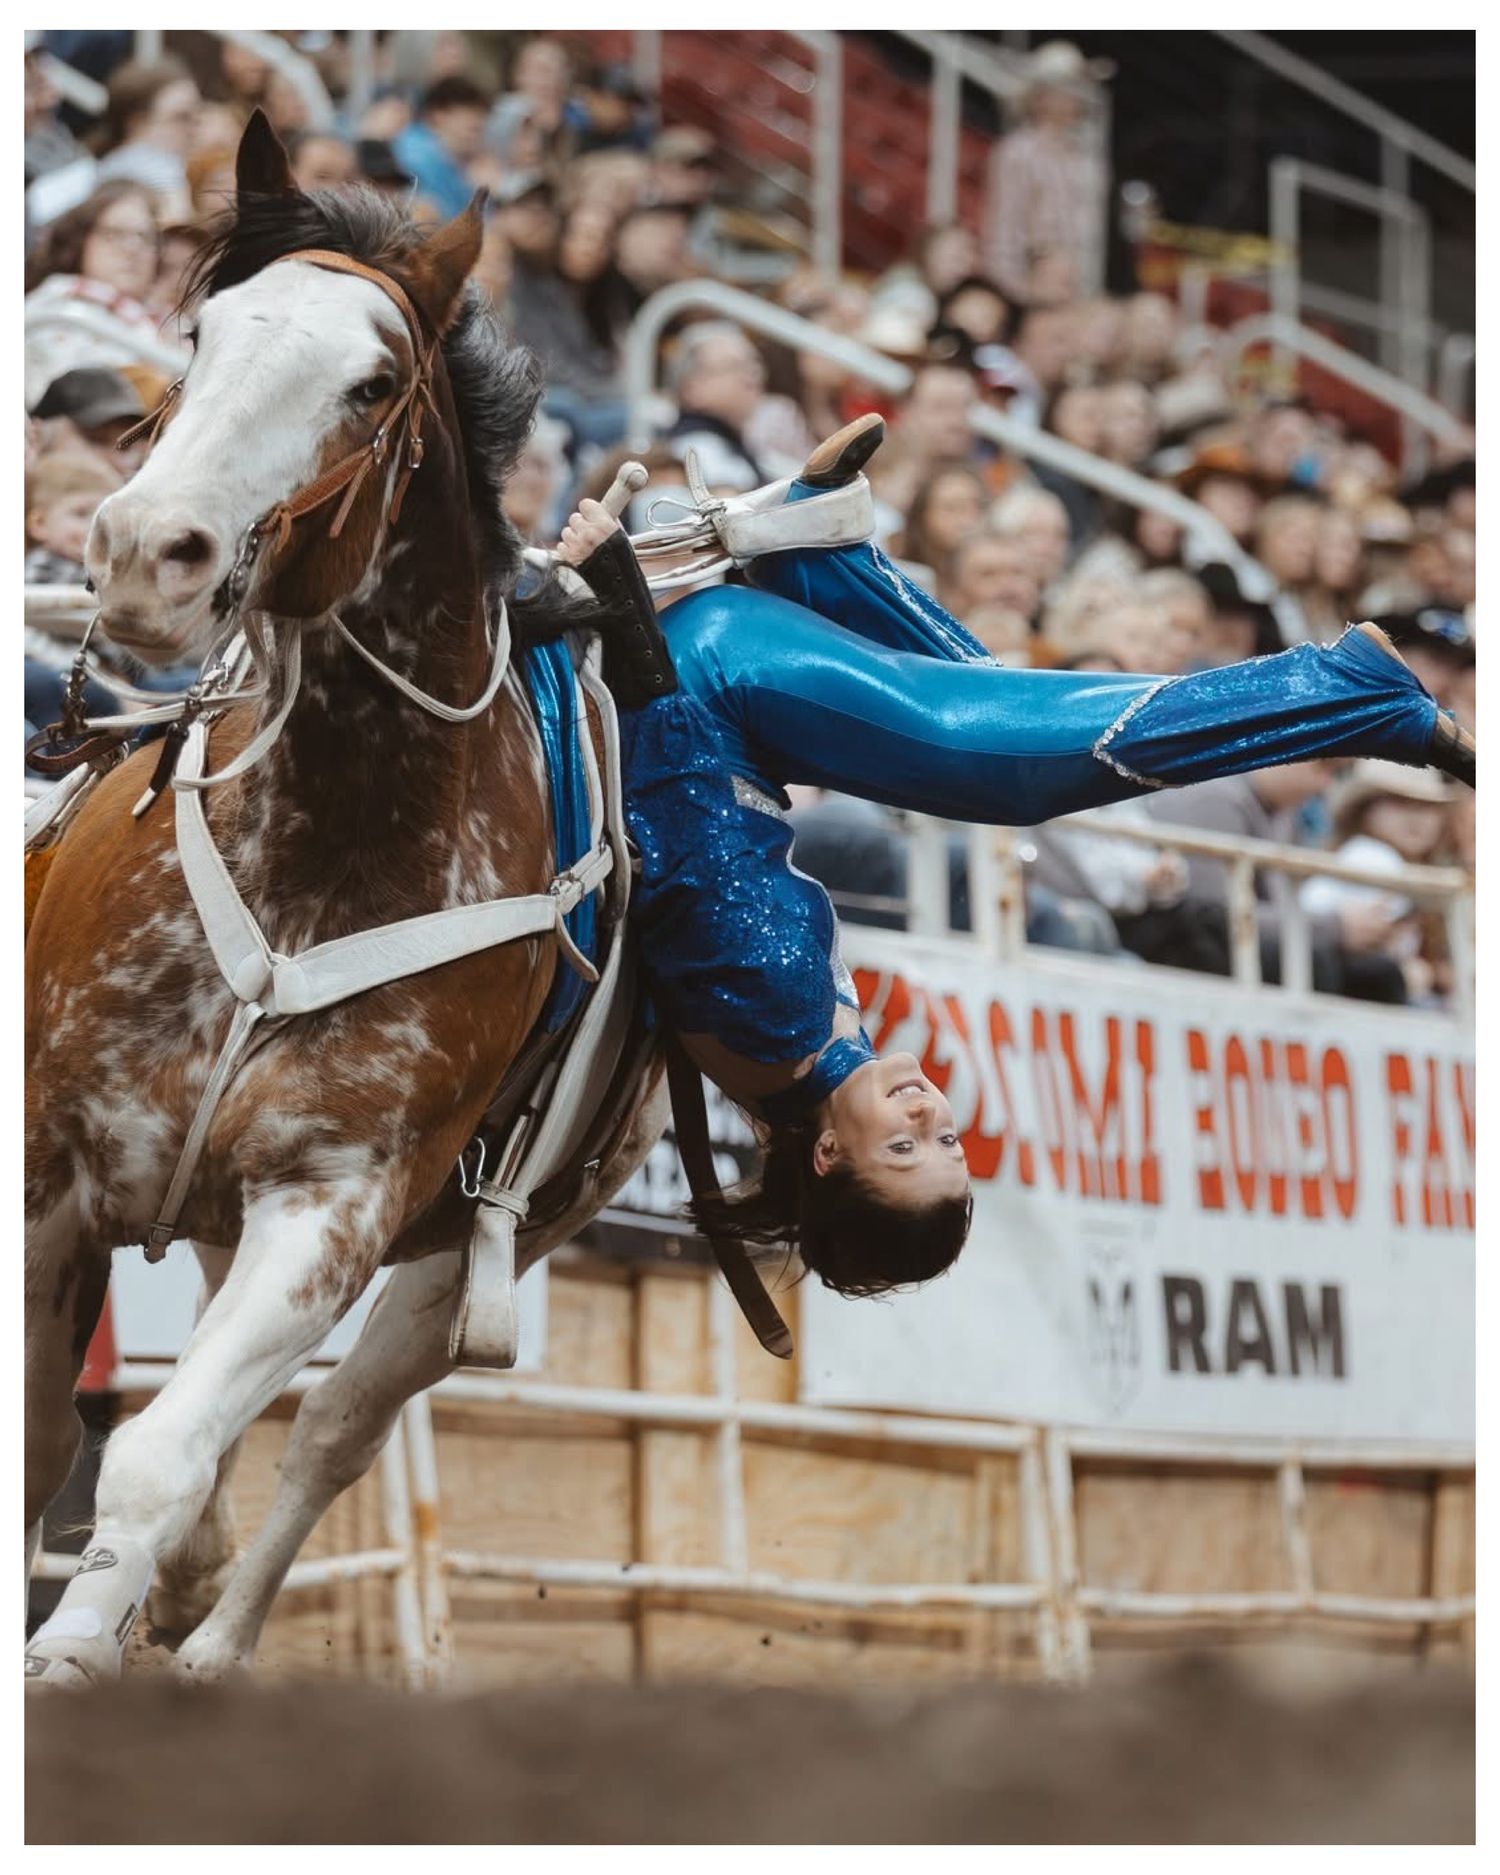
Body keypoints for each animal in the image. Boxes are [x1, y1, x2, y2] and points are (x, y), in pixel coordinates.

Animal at [25, 112, 665, 1685]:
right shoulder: (54, 1172)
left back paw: (206, 1641)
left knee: (321, 1431)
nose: (147, 550)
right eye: (198, 334)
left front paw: (75, 1646)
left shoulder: (334, 1201)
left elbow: (160, 1453)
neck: (317, 854)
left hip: (469, 1253)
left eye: (372, 385)